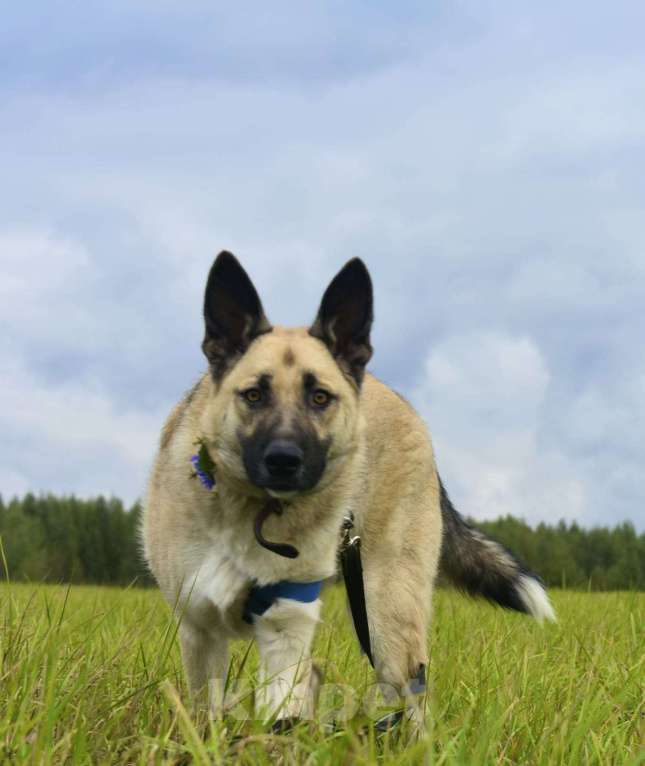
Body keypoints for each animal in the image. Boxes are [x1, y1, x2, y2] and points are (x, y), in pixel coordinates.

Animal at [141, 252, 552, 732]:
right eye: (254, 395)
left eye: (320, 397)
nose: (284, 460)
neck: (257, 512)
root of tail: (390, 393)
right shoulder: (199, 629)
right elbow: (207, 715)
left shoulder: (286, 626)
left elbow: (278, 716)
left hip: (387, 617)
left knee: (412, 696)